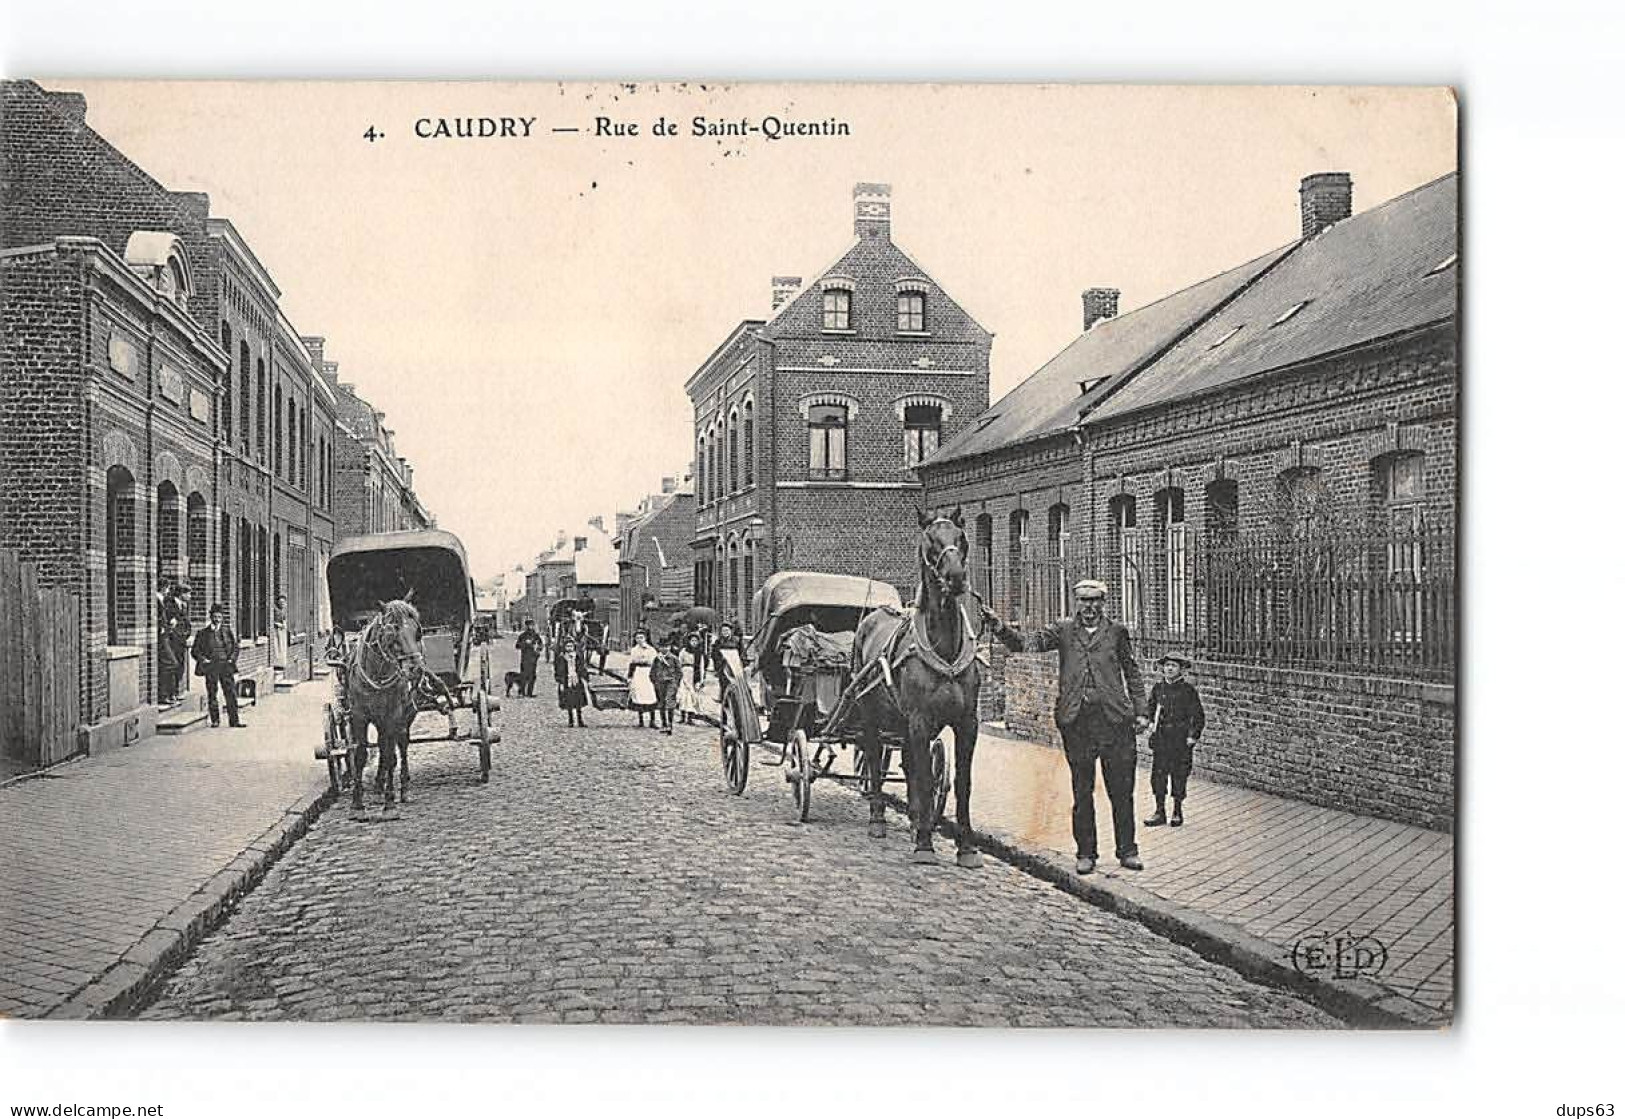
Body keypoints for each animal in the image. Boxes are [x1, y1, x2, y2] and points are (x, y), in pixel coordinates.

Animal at [347, 597, 425, 815]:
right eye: (393, 630)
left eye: (417, 631)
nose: (416, 668)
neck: (377, 675)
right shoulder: (358, 716)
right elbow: (361, 754)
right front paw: (357, 801)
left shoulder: (393, 715)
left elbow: (391, 754)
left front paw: (390, 802)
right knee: (382, 745)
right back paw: (378, 784)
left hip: (405, 716)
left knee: (401, 746)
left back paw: (403, 789)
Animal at [851, 509, 988, 870]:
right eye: (930, 541)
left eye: (961, 538)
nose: (956, 577)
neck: (946, 648)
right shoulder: (920, 720)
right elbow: (925, 780)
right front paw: (926, 845)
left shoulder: (967, 723)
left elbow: (961, 783)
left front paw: (966, 848)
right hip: (871, 716)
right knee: (874, 760)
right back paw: (878, 819)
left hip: (901, 723)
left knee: (909, 764)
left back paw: (914, 821)